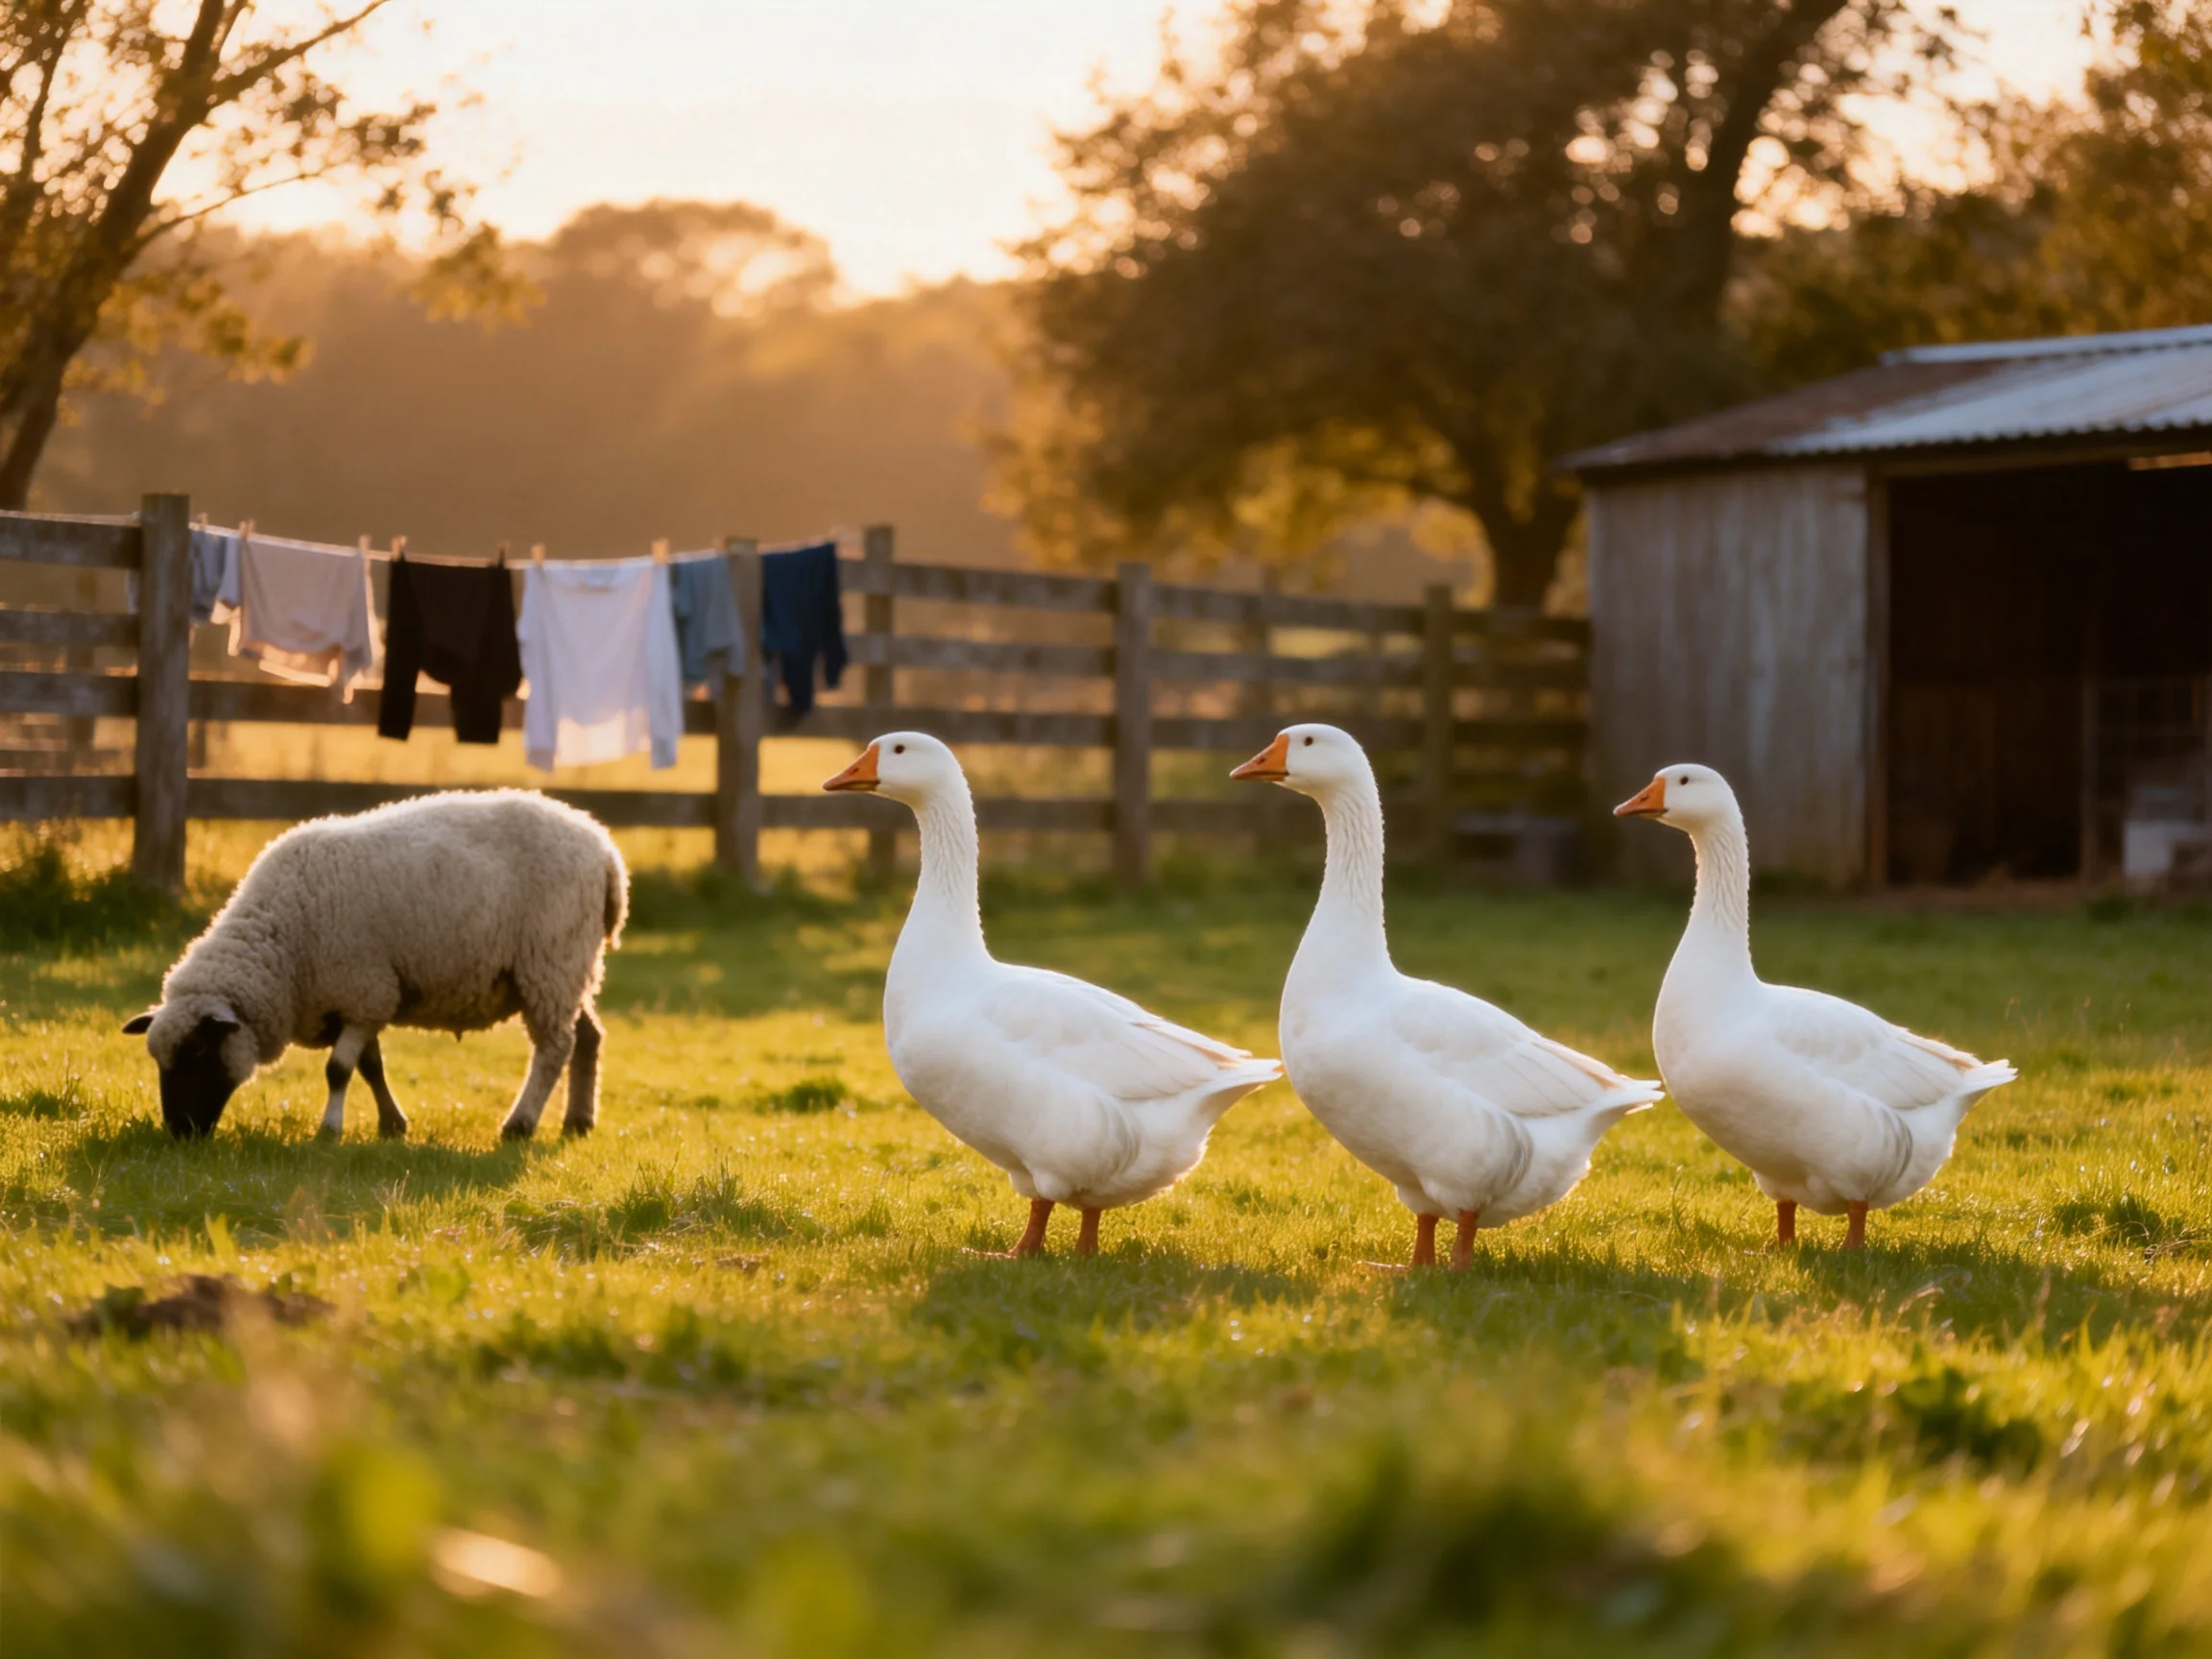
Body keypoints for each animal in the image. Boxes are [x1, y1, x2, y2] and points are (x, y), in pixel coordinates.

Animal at [123, 790, 628, 1141]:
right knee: (588, 1037)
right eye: (158, 1061)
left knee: (554, 1048)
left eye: (197, 1053)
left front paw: (330, 1130)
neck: (283, 947)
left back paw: (520, 1124)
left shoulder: (365, 992)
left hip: (551, 959)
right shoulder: (364, 999)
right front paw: (392, 1124)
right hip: (566, 968)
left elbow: (338, 1070)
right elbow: (370, 1067)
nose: (180, 1133)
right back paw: (578, 1121)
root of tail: (605, 851)